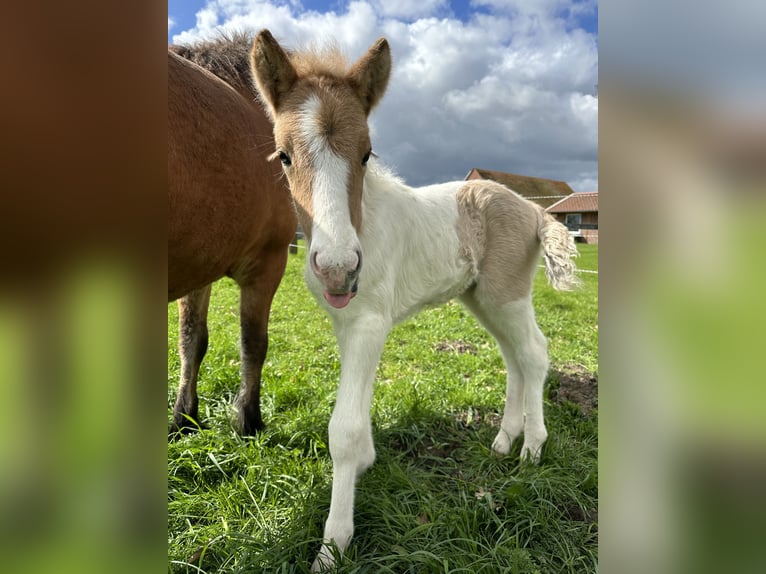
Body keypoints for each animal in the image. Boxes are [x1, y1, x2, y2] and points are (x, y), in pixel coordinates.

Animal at [168, 37, 296, 436]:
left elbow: (191, 339)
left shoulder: (198, 267)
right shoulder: (268, 264)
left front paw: (184, 417)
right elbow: (253, 343)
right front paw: (249, 420)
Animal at [252, 30, 584, 572]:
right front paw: (367, 463)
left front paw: (333, 545)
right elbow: (359, 405)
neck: (362, 222)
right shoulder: (347, 324)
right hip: (482, 300)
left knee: (534, 354)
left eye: (367, 153)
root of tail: (534, 211)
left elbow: (343, 428)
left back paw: (533, 449)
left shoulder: (369, 322)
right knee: (514, 358)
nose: (339, 267)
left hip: (506, 295)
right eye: (283, 155)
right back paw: (503, 440)